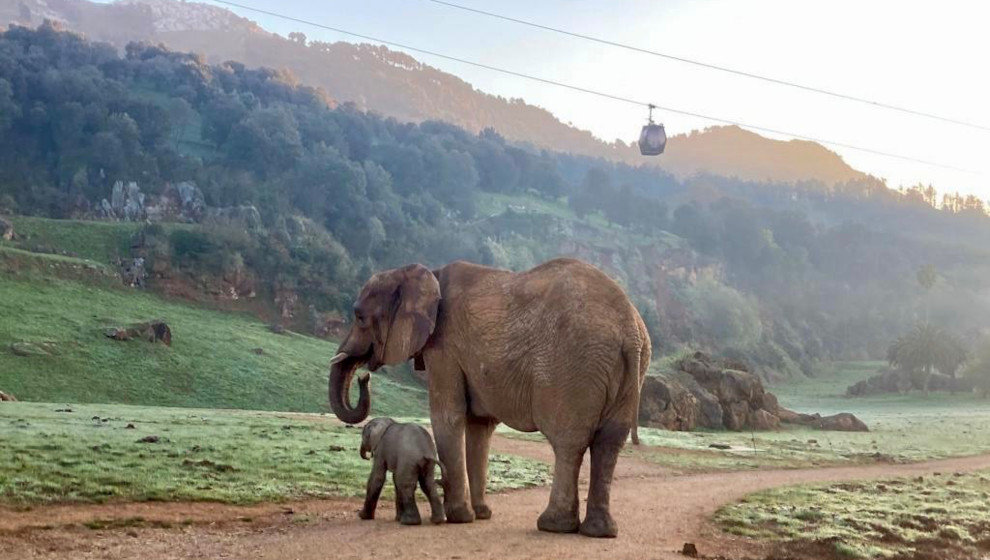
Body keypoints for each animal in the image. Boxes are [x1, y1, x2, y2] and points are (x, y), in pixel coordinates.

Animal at [328, 260, 652, 540]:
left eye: (359, 316)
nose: (364, 377)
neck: (426, 274)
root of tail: (630, 329)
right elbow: (479, 427)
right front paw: (482, 514)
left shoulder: (445, 347)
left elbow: (448, 416)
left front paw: (458, 518)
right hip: (629, 370)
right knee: (609, 444)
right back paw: (600, 531)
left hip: (573, 366)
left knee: (568, 442)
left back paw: (553, 525)